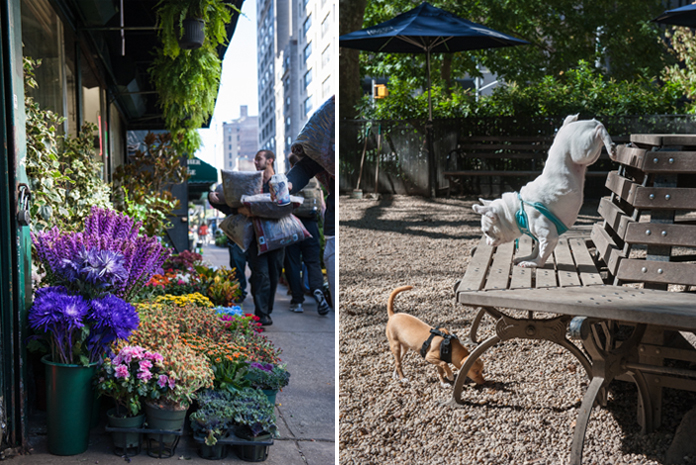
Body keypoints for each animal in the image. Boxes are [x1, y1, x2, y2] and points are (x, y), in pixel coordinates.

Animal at [474, 114, 616, 266]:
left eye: (487, 232)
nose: (488, 243)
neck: (518, 211)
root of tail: (570, 126)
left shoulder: (548, 236)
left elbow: (541, 255)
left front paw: (532, 263)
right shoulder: (539, 237)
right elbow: (536, 250)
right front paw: (526, 258)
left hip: (582, 151)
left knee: (599, 128)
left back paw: (610, 146)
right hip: (588, 156)